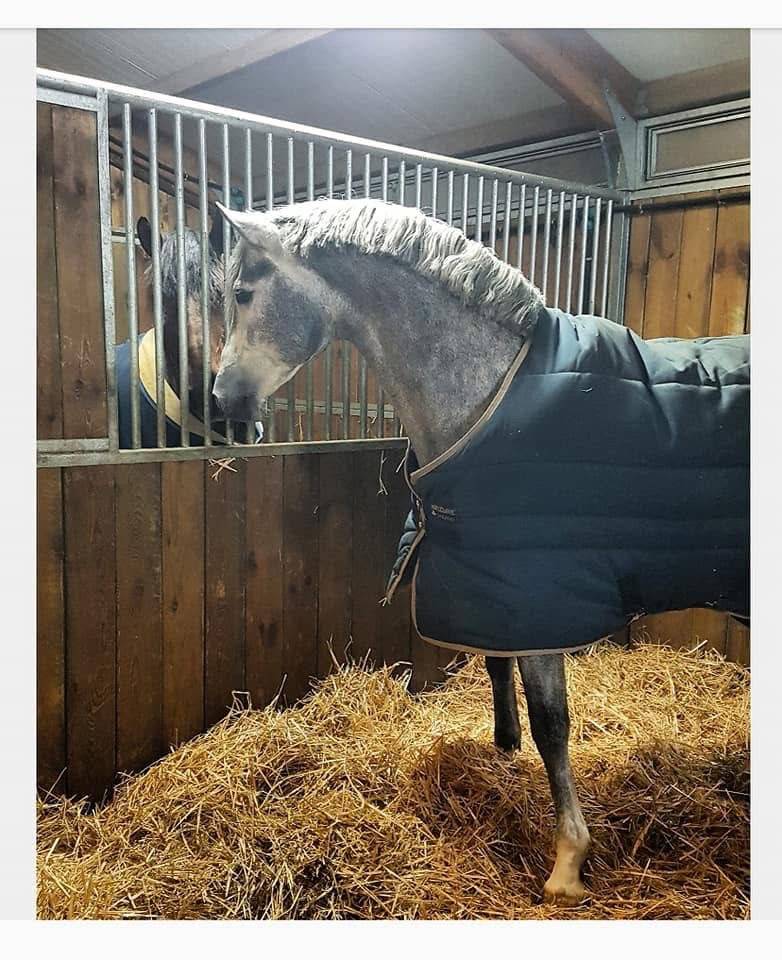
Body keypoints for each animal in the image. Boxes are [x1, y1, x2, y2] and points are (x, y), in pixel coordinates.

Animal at [211, 197, 750, 904]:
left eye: (244, 294)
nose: (222, 402)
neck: (490, 385)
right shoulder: (495, 585)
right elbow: (499, 670)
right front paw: (503, 753)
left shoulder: (540, 593)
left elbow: (552, 720)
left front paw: (568, 863)